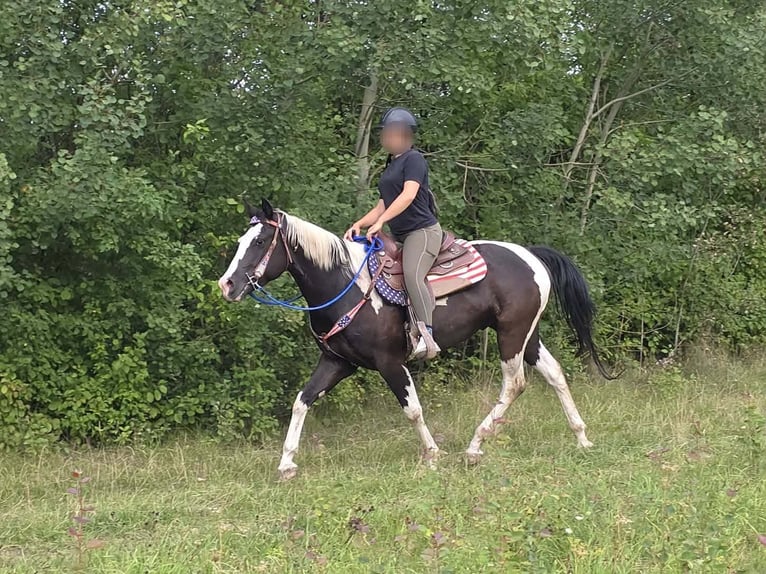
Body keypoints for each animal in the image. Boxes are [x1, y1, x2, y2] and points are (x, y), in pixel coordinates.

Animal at [218, 199, 613, 480]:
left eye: (260, 241)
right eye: (241, 241)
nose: (227, 285)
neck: (345, 285)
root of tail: (530, 254)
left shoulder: (390, 362)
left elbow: (412, 409)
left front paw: (432, 455)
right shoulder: (337, 362)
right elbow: (302, 401)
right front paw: (286, 464)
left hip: (512, 334)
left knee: (514, 384)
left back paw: (475, 445)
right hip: (526, 335)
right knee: (555, 374)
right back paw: (581, 437)